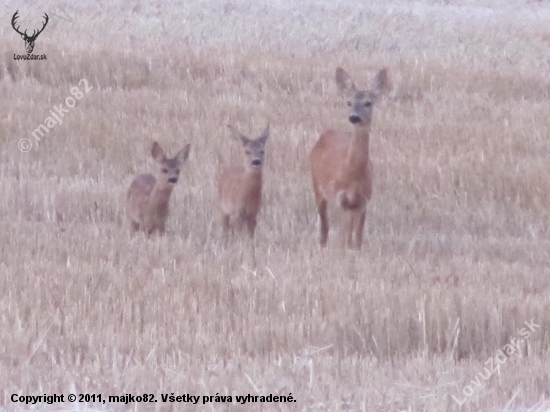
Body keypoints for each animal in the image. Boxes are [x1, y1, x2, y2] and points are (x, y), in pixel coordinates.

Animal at [218, 124, 270, 268]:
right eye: (247, 151)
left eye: (262, 151)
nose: (256, 161)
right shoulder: (238, 212)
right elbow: (240, 238)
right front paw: (240, 259)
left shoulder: (253, 214)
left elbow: (250, 239)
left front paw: (253, 261)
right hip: (222, 208)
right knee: (226, 230)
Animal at [310, 66, 388, 249]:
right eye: (348, 102)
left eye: (368, 102)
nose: (354, 117)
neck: (353, 175)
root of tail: (326, 133)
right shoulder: (340, 198)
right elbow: (344, 235)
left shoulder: (363, 200)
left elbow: (357, 237)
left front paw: (355, 251)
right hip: (317, 184)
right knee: (324, 224)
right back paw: (322, 244)